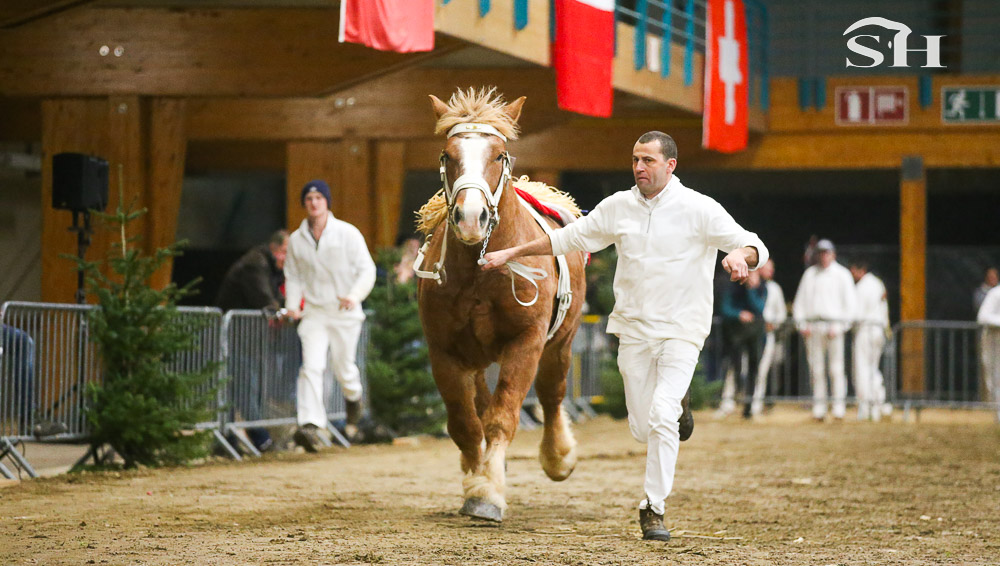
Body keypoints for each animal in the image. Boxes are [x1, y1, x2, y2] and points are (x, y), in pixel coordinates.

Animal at [414, 88, 587, 522]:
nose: (470, 216)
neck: (482, 271)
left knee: (552, 394)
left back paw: (557, 455)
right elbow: (465, 423)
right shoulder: (444, 350)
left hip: (561, 343)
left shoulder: (526, 342)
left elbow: (503, 415)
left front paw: (488, 492)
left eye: (498, 155)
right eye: (448, 154)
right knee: (478, 404)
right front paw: (478, 480)